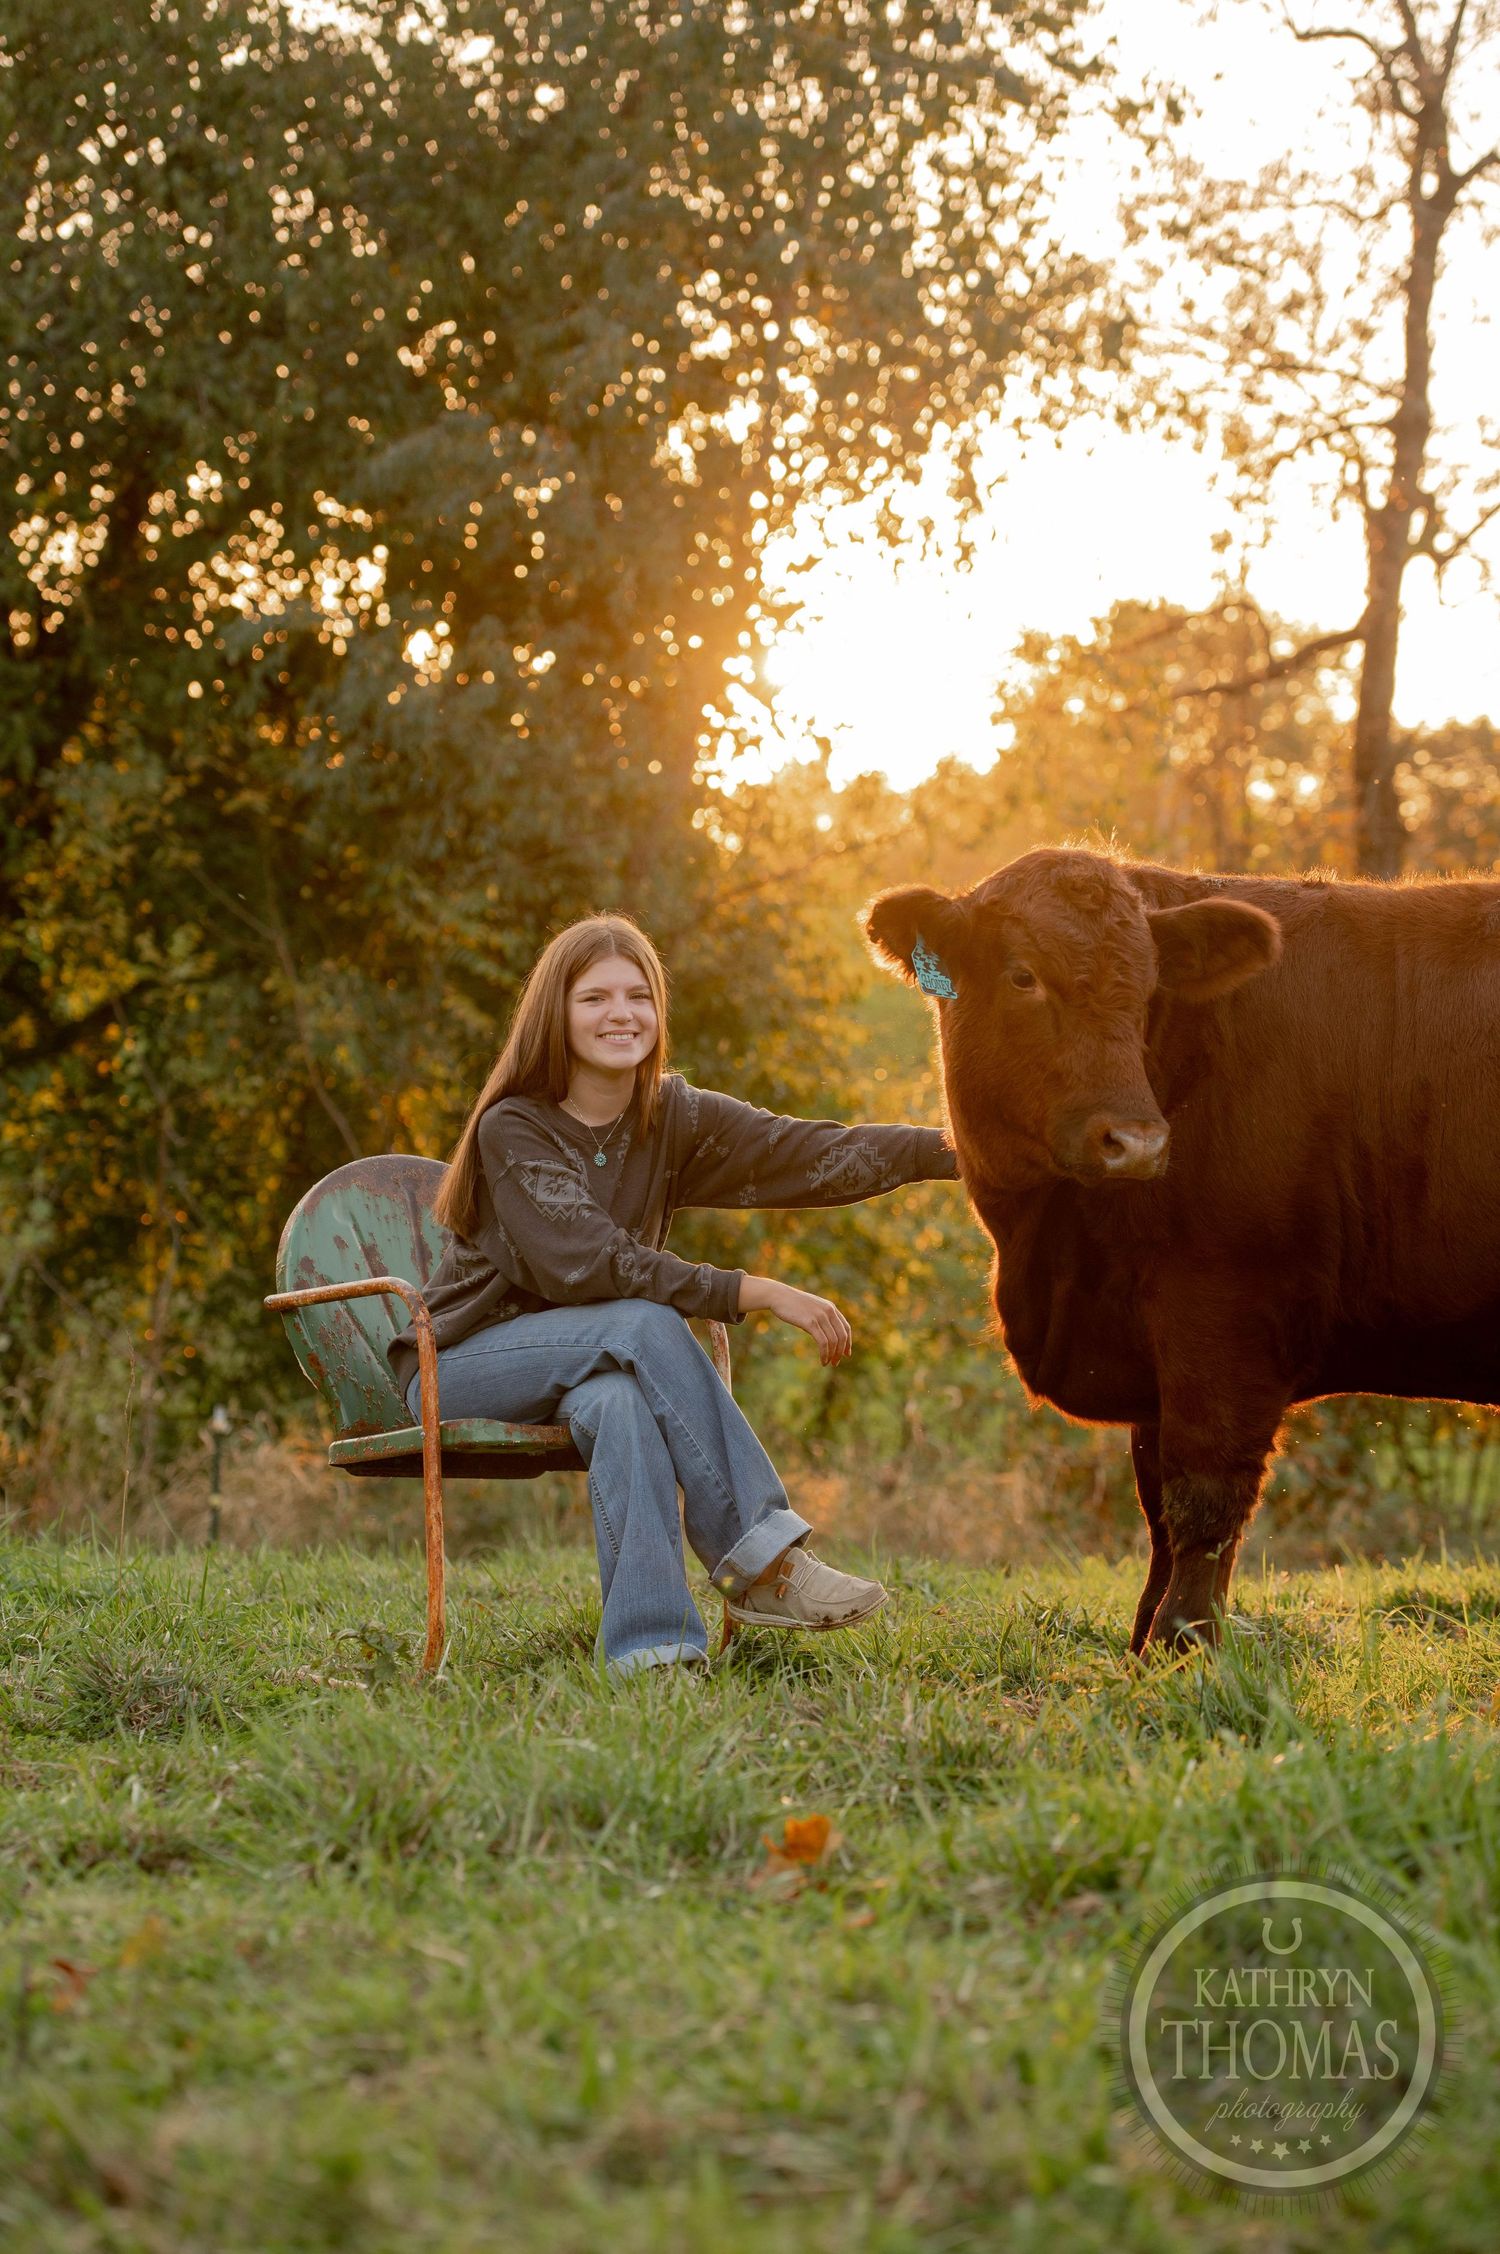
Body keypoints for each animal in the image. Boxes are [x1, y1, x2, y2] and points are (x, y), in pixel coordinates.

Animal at [865, 846, 1500, 1653]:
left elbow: (1205, 1496)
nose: (1136, 1141)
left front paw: (1182, 1644)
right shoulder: (1154, 1345)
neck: (1053, 1248)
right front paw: (1150, 1639)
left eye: (1146, 989)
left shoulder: (1226, 1313)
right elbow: (1157, 1504)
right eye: (1022, 975)